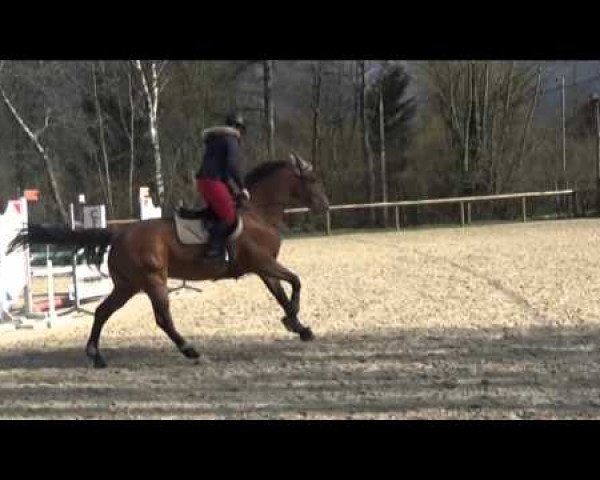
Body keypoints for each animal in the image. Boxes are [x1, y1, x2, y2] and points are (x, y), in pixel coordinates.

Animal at [8, 154, 328, 368]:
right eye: (311, 180)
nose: (324, 205)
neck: (258, 213)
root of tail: (119, 233)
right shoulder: (263, 264)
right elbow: (296, 282)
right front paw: (293, 321)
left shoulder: (264, 268)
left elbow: (283, 294)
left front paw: (298, 326)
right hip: (153, 281)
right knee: (162, 318)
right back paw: (190, 350)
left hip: (127, 286)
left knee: (101, 312)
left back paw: (96, 356)